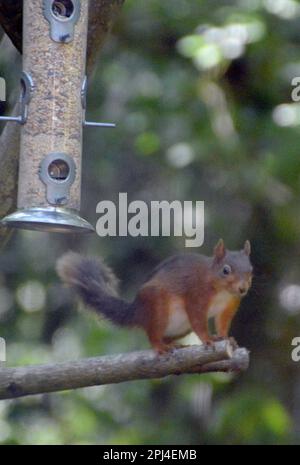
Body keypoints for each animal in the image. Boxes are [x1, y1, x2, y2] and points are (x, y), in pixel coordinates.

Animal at [56, 239, 253, 352]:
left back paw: (172, 344)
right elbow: (198, 319)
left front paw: (225, 338)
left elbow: (222, 323)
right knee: (152, 334)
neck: (223, 292)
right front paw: (208, 339)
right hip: (158, 306)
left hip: (182, 327)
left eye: (251, 270)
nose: (243, 289)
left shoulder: (229, 306)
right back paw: (159, 347)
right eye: (226, 270)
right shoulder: (196, 294)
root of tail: (137, 311)